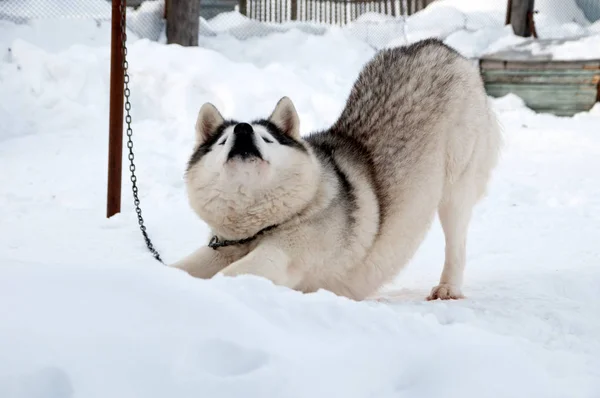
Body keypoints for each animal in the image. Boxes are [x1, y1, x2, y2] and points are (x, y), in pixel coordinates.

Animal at [172, 38, 502, 300]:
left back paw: (448, 287)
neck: (260, 228)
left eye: (266, 138)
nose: (242, 129)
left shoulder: (285, 255)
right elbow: (185, 266)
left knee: (456, 242)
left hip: (456, 189)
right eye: (223, 140)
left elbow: (237, 271)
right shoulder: (220, 249)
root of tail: (438, 45)